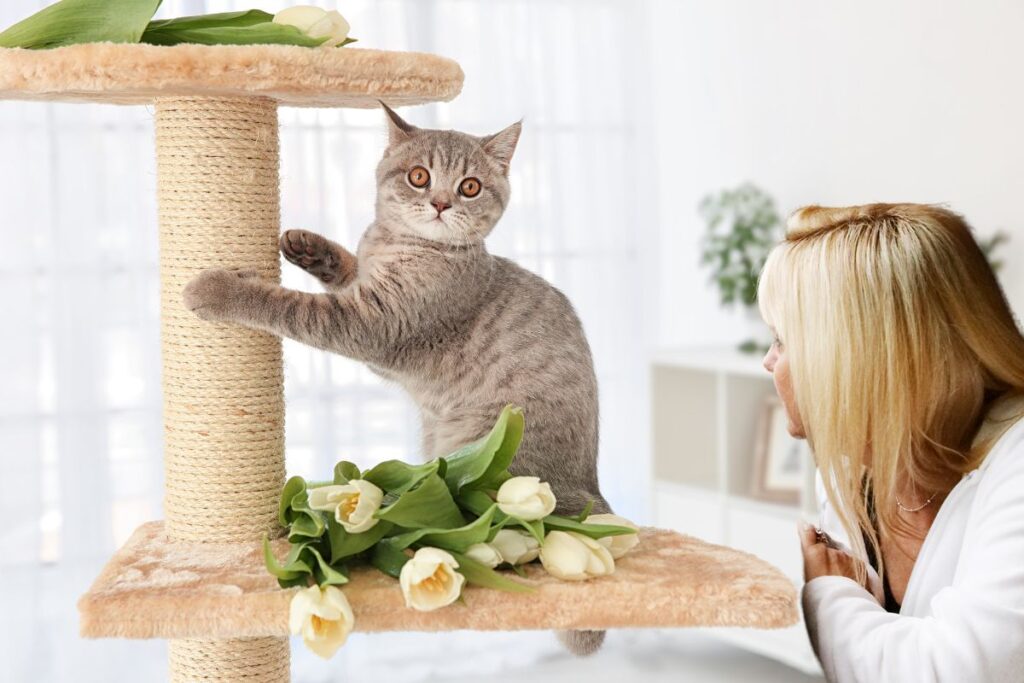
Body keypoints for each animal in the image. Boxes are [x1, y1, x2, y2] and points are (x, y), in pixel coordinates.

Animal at [180, 104, 606, 655]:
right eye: (418, 176)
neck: (405, 245)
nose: (442, 203)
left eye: (470, 186)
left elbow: (288, 305)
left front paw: (216, 289)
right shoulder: (367, 295)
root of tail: (593, 490)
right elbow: (349, 265)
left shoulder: (373, 328)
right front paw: (309, 246)